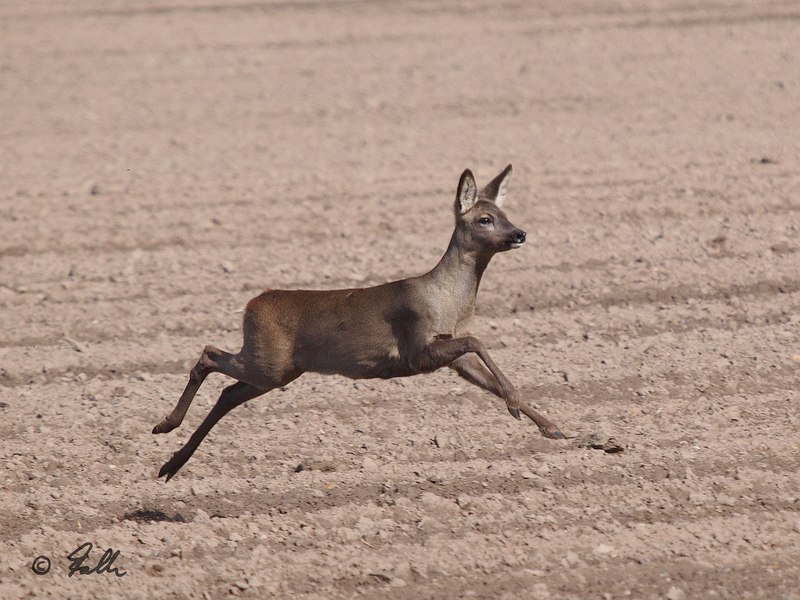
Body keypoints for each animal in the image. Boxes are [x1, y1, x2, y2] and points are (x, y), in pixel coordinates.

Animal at [150, 165, 564, 482]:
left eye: (506, 214)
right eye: (484, 218)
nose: (519, 233)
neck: (445, 299)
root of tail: (252, 304)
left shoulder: (449, 355)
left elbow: (483, 371)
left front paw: (551, 426)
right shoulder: (416, 348)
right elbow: (478, 341)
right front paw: (518, 406)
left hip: (278, 370)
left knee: (228, 393)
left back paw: (171, 463)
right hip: (269, 362)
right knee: (209, 355)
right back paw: (165, 425)